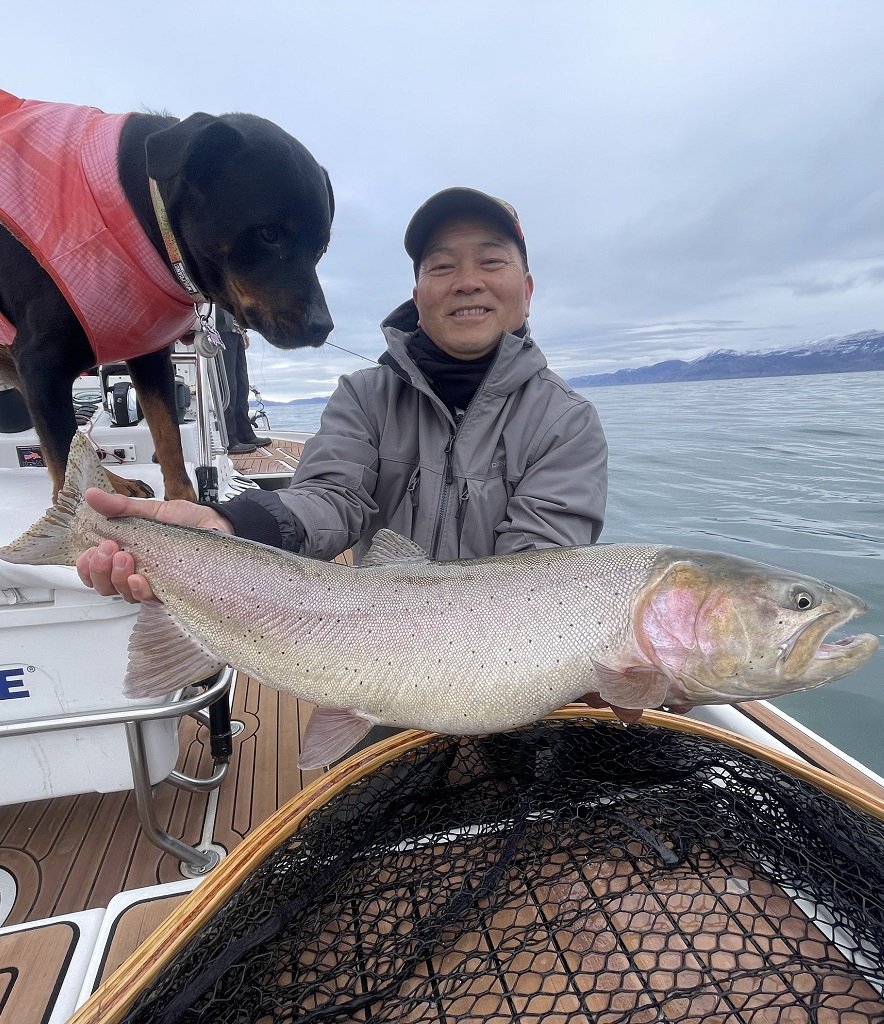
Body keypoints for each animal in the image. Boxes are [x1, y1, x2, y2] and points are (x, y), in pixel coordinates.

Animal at [0, 91, 333, 499]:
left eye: (321, 248)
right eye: (268, 233)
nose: (323, 327)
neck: (144, 209)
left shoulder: (148, 351)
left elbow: (168, 436)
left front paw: (183, 501)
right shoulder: (41, 365)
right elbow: (65, 467)